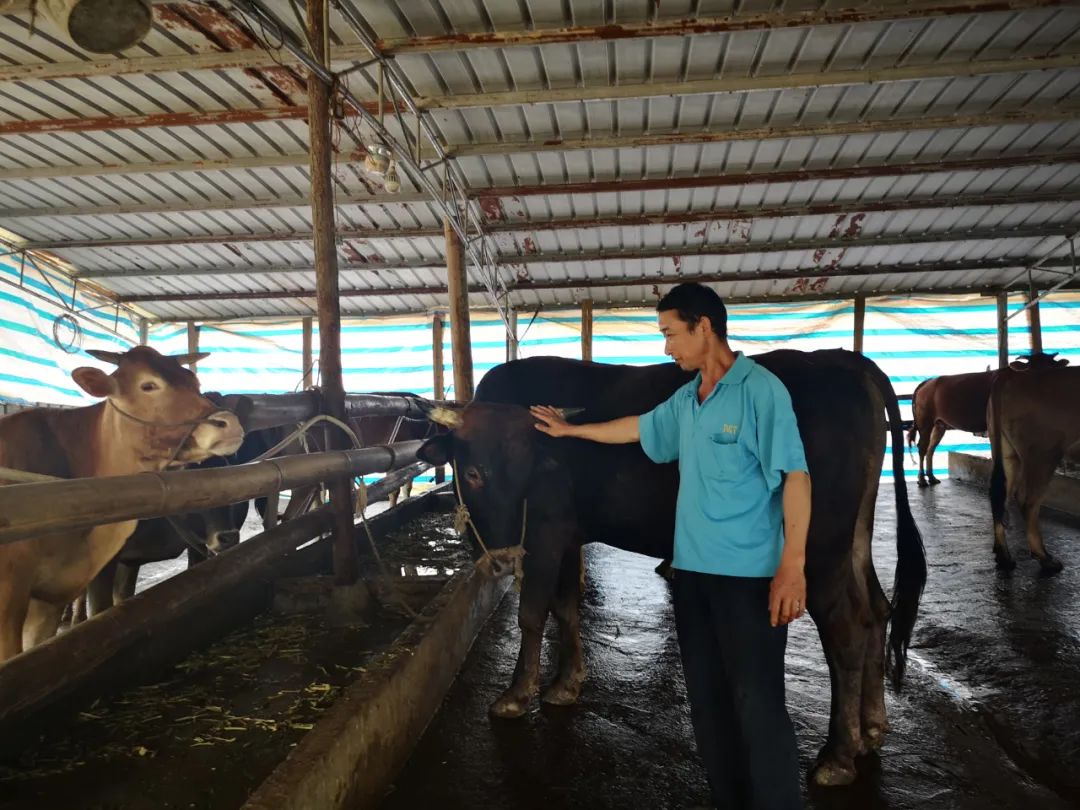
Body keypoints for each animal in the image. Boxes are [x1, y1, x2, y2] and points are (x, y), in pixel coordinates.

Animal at [416, 354, 924, 786]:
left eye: (526, 471)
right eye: (473, 472)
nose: (505, 558)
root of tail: (842, 360)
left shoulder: (544, 531)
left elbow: (532, 614)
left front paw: (516, 695)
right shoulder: (568, 533)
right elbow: (566, 608)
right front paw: (566, 683)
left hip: (817, 553)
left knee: (846, 629)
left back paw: (837, 757)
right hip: (853, 541)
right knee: (876, 610)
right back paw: (871, 729)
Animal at [989, 360, 1080, 578]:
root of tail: (1012, 373)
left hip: (1007, 452)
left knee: (1000, 496)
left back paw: (1004, 557)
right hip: (1043, 453)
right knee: (1028, 501)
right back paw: (1046, 559)